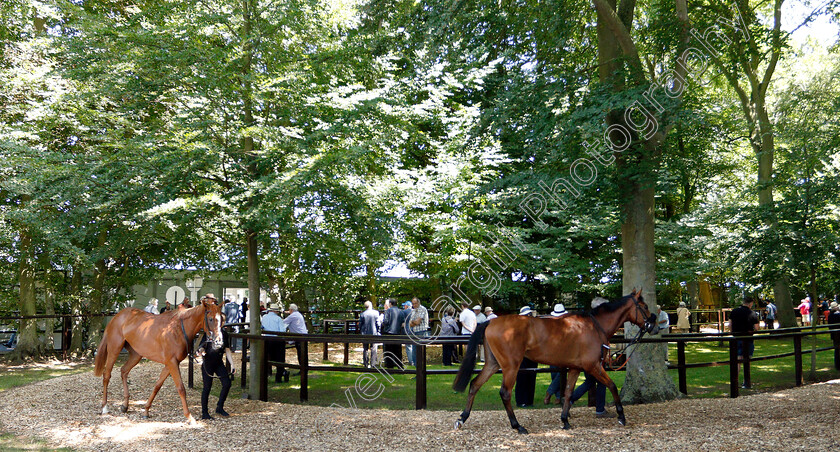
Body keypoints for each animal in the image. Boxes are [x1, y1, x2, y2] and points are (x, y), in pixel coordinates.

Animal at [93, 296, 223, 424]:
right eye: (210, 319)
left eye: (222, 318)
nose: (219, 342)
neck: (179, 329)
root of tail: (117, 316)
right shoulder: (172, 362)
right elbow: (181, 388)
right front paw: (189, 417)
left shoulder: (170, 364)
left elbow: (157, 386)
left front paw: (146, 410)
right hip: (114, 350)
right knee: (107, 375)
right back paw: (104, 407)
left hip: (136, 355)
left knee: (124, 371)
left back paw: (125, 405)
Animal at [452, 290, 656, 434]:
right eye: (644, 306)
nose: (653, 325)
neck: (593, 326)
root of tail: (491, 322)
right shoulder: (593, 367)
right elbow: (612, 385)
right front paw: (621, 416)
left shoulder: (575, 368)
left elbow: (568, 392)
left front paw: (565, 420)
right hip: (511, 366)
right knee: (505, 393)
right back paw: (517, 426)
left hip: (493, 364)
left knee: (475, 385)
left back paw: (462, 418)